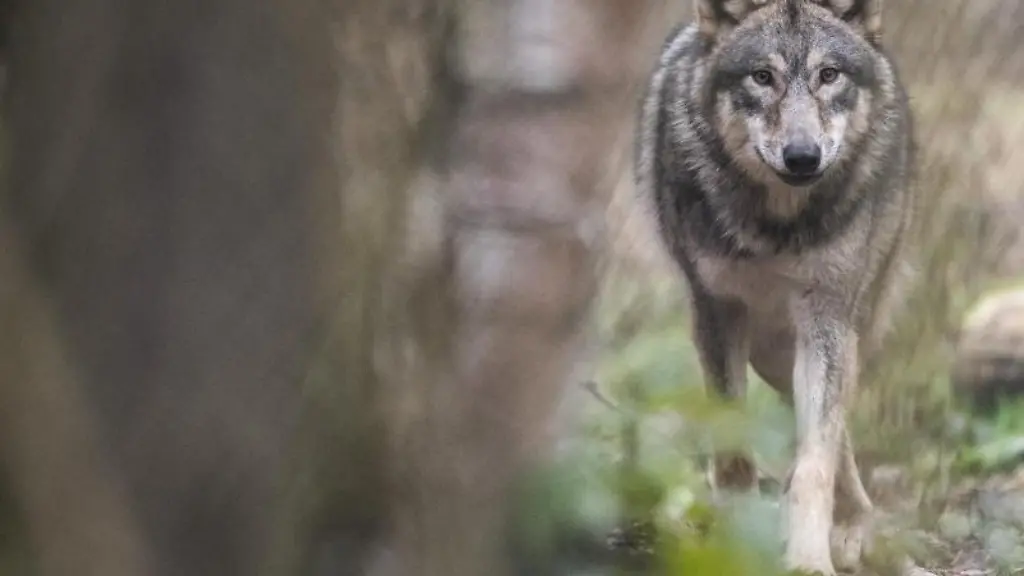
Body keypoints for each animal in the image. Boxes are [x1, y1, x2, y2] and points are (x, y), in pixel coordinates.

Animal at [634, 0, 915, 573]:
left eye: (829, 75)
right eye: (762, 77)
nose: (803, 156)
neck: (775, 227)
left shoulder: (826, 321)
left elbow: (814, 462)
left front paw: (809, 559)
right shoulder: (716, 315)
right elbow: (733, 450)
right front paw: (736, 543)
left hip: (832, 335)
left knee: (833, 436)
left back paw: (853, 525)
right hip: (770, 352)